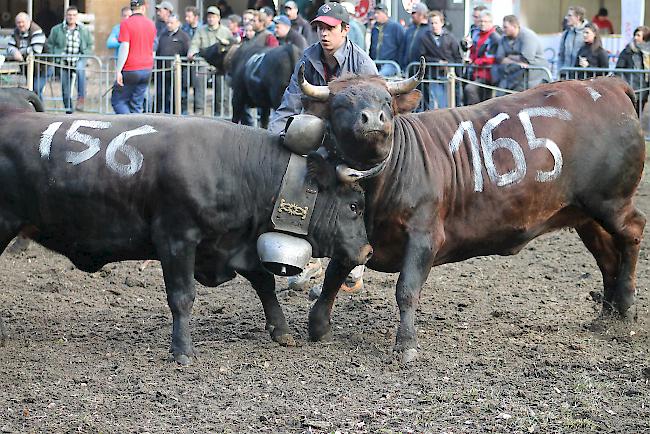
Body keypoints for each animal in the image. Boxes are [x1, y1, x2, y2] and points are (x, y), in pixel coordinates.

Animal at [0, 110, 370, 364]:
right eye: (354, 205)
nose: (367, 250)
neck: (235, 167)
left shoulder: (231, 245)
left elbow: (264, 283)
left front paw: (281, 332)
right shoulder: (176, 238)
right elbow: (182, 296)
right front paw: (182, 350)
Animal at [302, 74, 644, 362]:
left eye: (386, 101)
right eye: (341, 104)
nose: (373, 118)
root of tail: (606, 84)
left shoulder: (425, 236)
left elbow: (406, 289)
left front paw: (406, 342)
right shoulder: (352, 234)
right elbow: (335, 273)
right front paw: (318, 324)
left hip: (610, 201)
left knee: (633, 230)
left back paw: (626, 304)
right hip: (585, 216)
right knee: (607, 258)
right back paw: (606, 317)